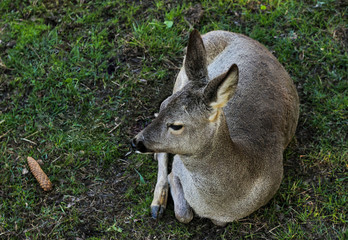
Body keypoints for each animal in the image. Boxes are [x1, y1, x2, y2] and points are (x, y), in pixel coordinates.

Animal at [130, 29, 300, 226]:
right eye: (163, 106)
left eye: (176, 125)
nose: (136, 142)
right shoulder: (178, 167)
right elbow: (184, 213)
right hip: (180, 77)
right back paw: (157, 205)